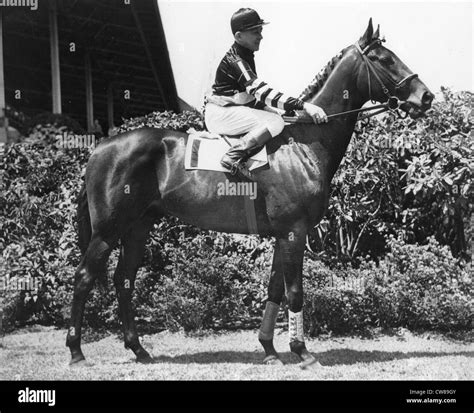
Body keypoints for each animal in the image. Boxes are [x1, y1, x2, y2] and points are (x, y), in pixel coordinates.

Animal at [65, 20, 434, 366]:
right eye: (384, 59)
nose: (426, 97)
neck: (303, 144)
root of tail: (100, 149)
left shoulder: (283, 234)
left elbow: (274, 291)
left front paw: (269, 348)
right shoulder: (294, 232)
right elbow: (295, 292)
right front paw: (302, 352)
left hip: (138, 227)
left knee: (123, 280)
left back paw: (139, 349)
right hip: (108, 230)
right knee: (83, 277)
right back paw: (76, 351)